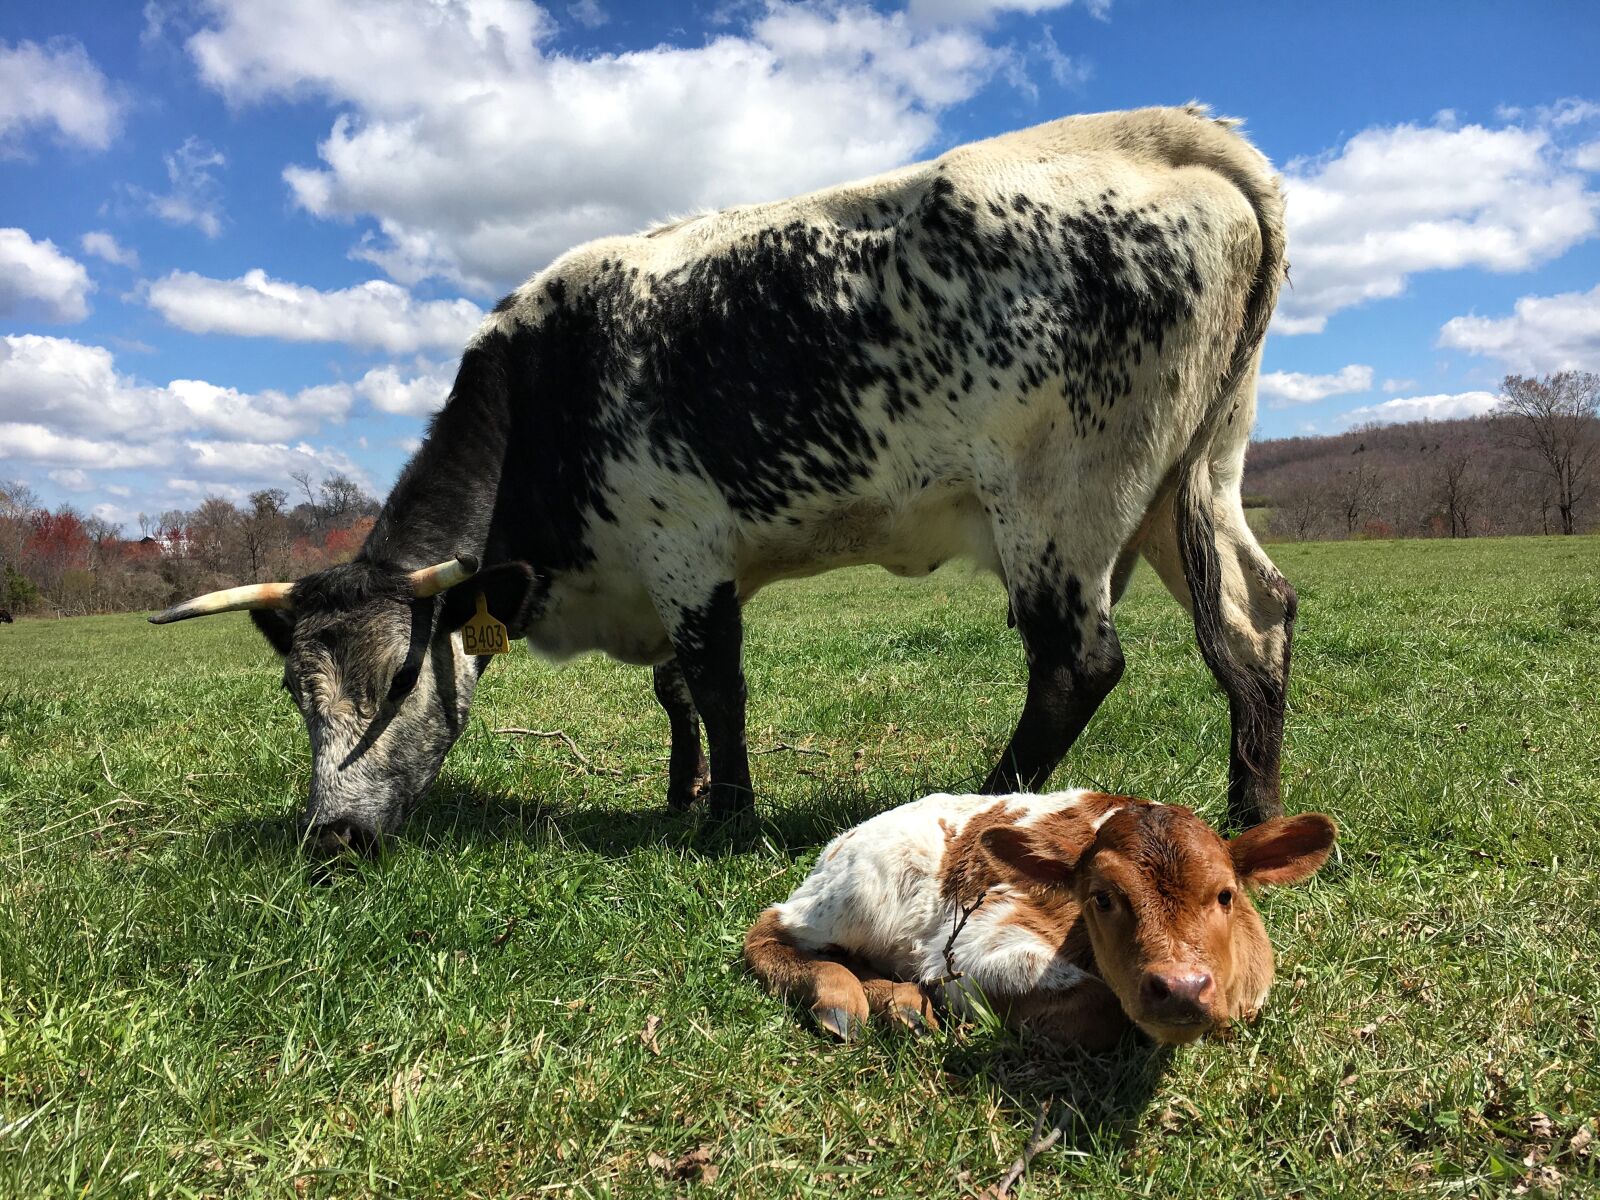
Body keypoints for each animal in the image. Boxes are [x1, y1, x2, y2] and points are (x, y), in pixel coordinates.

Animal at [151, 105, 1294, 856]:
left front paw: (728, 815)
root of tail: (1171, 134)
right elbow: (674, 691)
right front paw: (680, 790)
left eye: (398, 677)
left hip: (1061, 501)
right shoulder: (672, 571)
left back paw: (985, 805)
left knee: (1078, 662)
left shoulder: (684, 552)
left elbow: (715, 683)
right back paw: (1253, 811)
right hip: (1190, 479)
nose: (332, 836)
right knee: (1254, 619)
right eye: (296, 692)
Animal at [745, 790, 1336, 1046]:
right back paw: (842, 1001)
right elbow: (1099, 1005)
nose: (1183, 988)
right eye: (1101, 898)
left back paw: (905, 1007)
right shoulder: (972, 942)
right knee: (769, 930)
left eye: (1225, 895)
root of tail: (841, 838)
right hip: (860, 888)